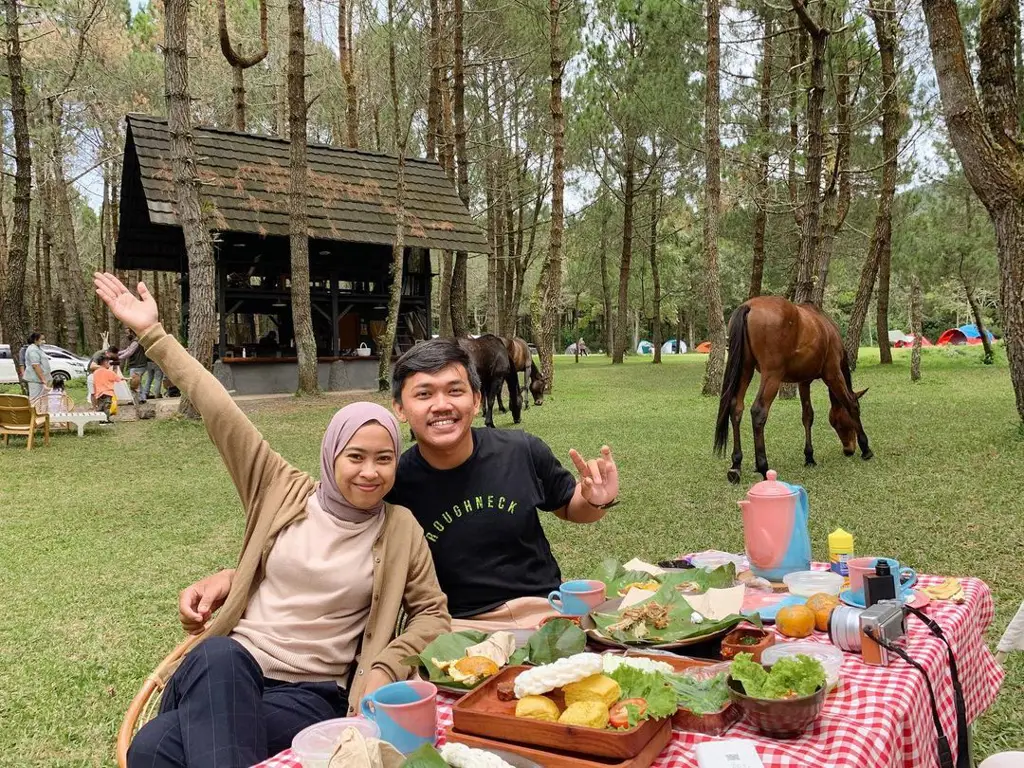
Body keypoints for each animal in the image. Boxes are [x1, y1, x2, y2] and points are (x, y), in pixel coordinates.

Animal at [712, 296, 872, 483]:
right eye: (840, 423)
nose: (849, 450)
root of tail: (749, 306)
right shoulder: (833, 374)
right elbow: (850, 404)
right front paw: (866, 447)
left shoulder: (804, 382)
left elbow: (807, 416)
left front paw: (809, 457)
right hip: (772, 375)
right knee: (758, 411)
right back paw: (763, 466)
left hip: (745, 370)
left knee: (736, 408)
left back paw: (736, 465)